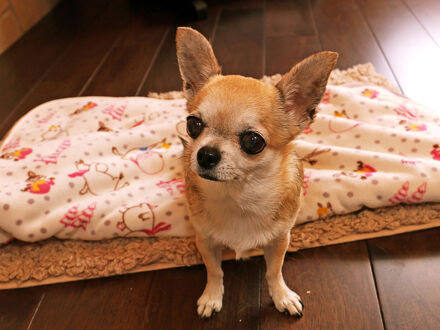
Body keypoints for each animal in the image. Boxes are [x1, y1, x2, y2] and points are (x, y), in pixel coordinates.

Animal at [175, 27, 336, 318]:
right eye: (193, 124)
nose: (205, 154)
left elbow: (274, 271)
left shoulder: (279, 240)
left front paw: (282, 296)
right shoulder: (205, 240)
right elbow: (214, 271)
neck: (239, 197)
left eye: (253, 141)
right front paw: (212, 297)